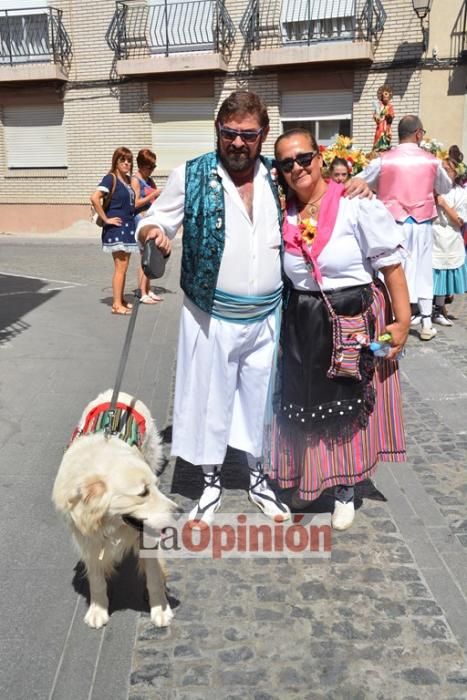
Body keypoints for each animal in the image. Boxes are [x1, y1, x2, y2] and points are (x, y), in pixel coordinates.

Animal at [52, 392, 181, 632]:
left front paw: (160, 608)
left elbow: (153, 577)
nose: (180, 512)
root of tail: (118, 393)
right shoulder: (87, 540)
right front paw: (98, 609)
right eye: (142, 493)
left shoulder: (146, 535)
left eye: (157, 486)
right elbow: (96, 579)